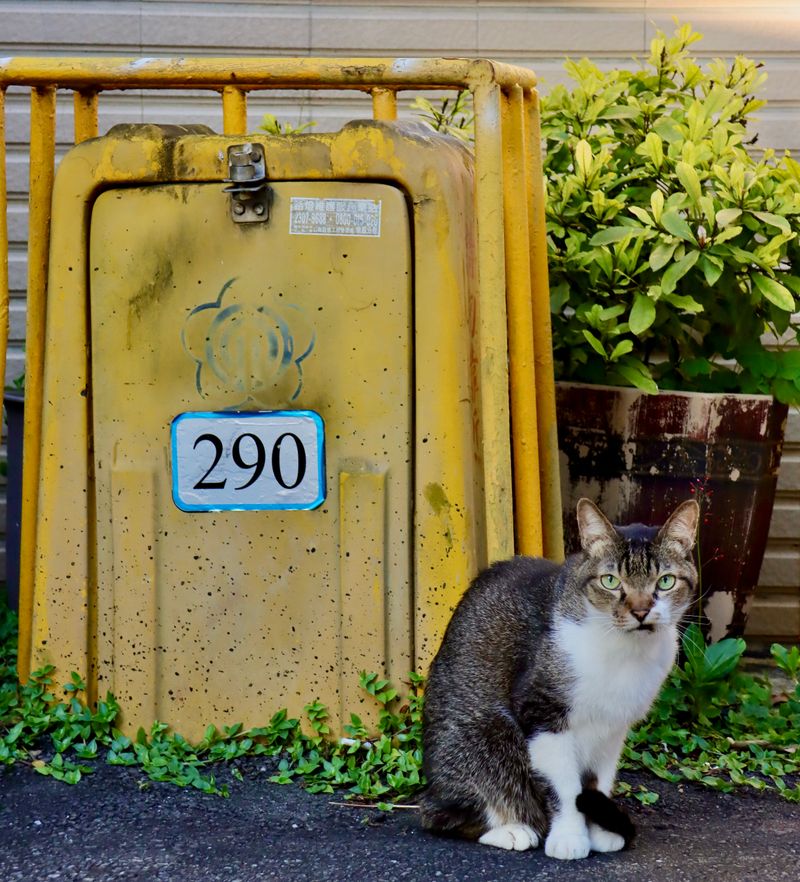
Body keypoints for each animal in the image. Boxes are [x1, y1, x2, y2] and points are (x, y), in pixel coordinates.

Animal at [422, 498, 696, 856]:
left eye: (665, 581)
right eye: (610, 581)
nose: (640, 611)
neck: (625, 653)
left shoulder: (614, 727)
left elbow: (599, 781)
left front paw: (600, 830)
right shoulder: (542, 710)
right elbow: (564, 786)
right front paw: (569, 837)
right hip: (486, 738)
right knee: (445, 813)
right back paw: (512, 829)